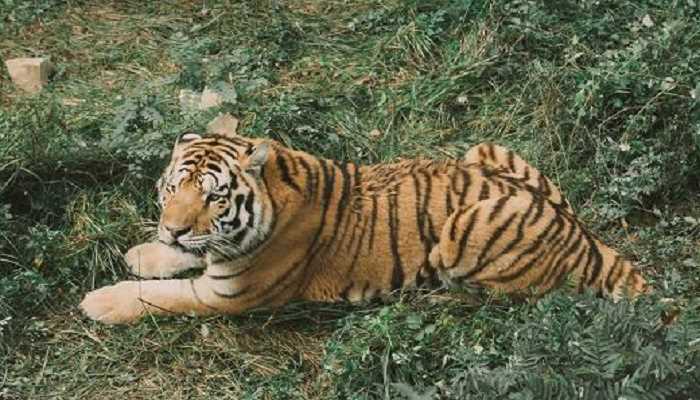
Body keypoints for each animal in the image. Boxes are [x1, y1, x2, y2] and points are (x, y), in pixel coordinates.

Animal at [80, 130, 649, 324]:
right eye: (173, 189)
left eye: (214, 195)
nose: (172, 228)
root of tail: (586, 238)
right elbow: (185, 256)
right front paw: (147, 251)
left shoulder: (230, 295)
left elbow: (164, 295)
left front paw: (103, 301)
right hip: (483, 150)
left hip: (462, 230)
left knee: (499, 300)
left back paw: (435, 297)